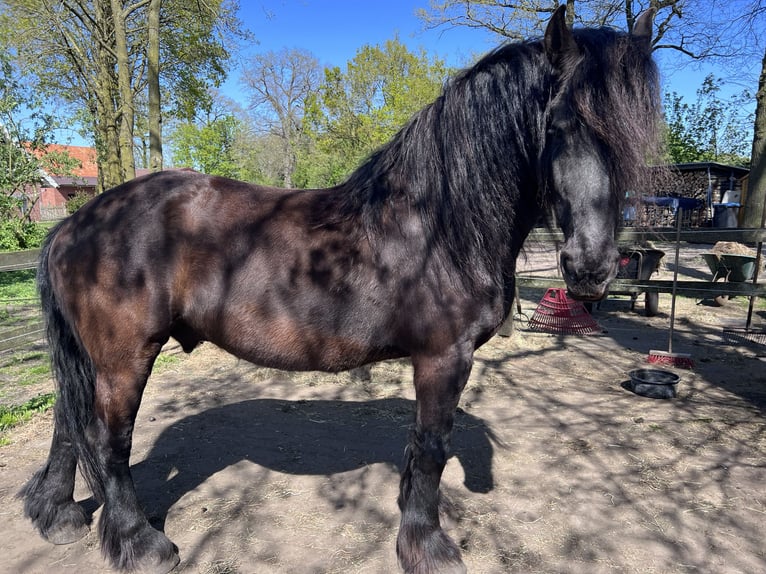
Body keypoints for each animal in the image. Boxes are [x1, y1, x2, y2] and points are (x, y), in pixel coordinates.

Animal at [19, 7, 661, 573]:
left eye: (632, 137)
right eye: (560, 126)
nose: (590, 265)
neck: (439, 224)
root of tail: (74, 225)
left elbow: (419, 451)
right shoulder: (443, 358)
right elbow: (433, 447)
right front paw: (427, 548)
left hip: (96, 358)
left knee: (67, 423)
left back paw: (59, 515)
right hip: (126, 356)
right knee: (108, 440)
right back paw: (141, 544)